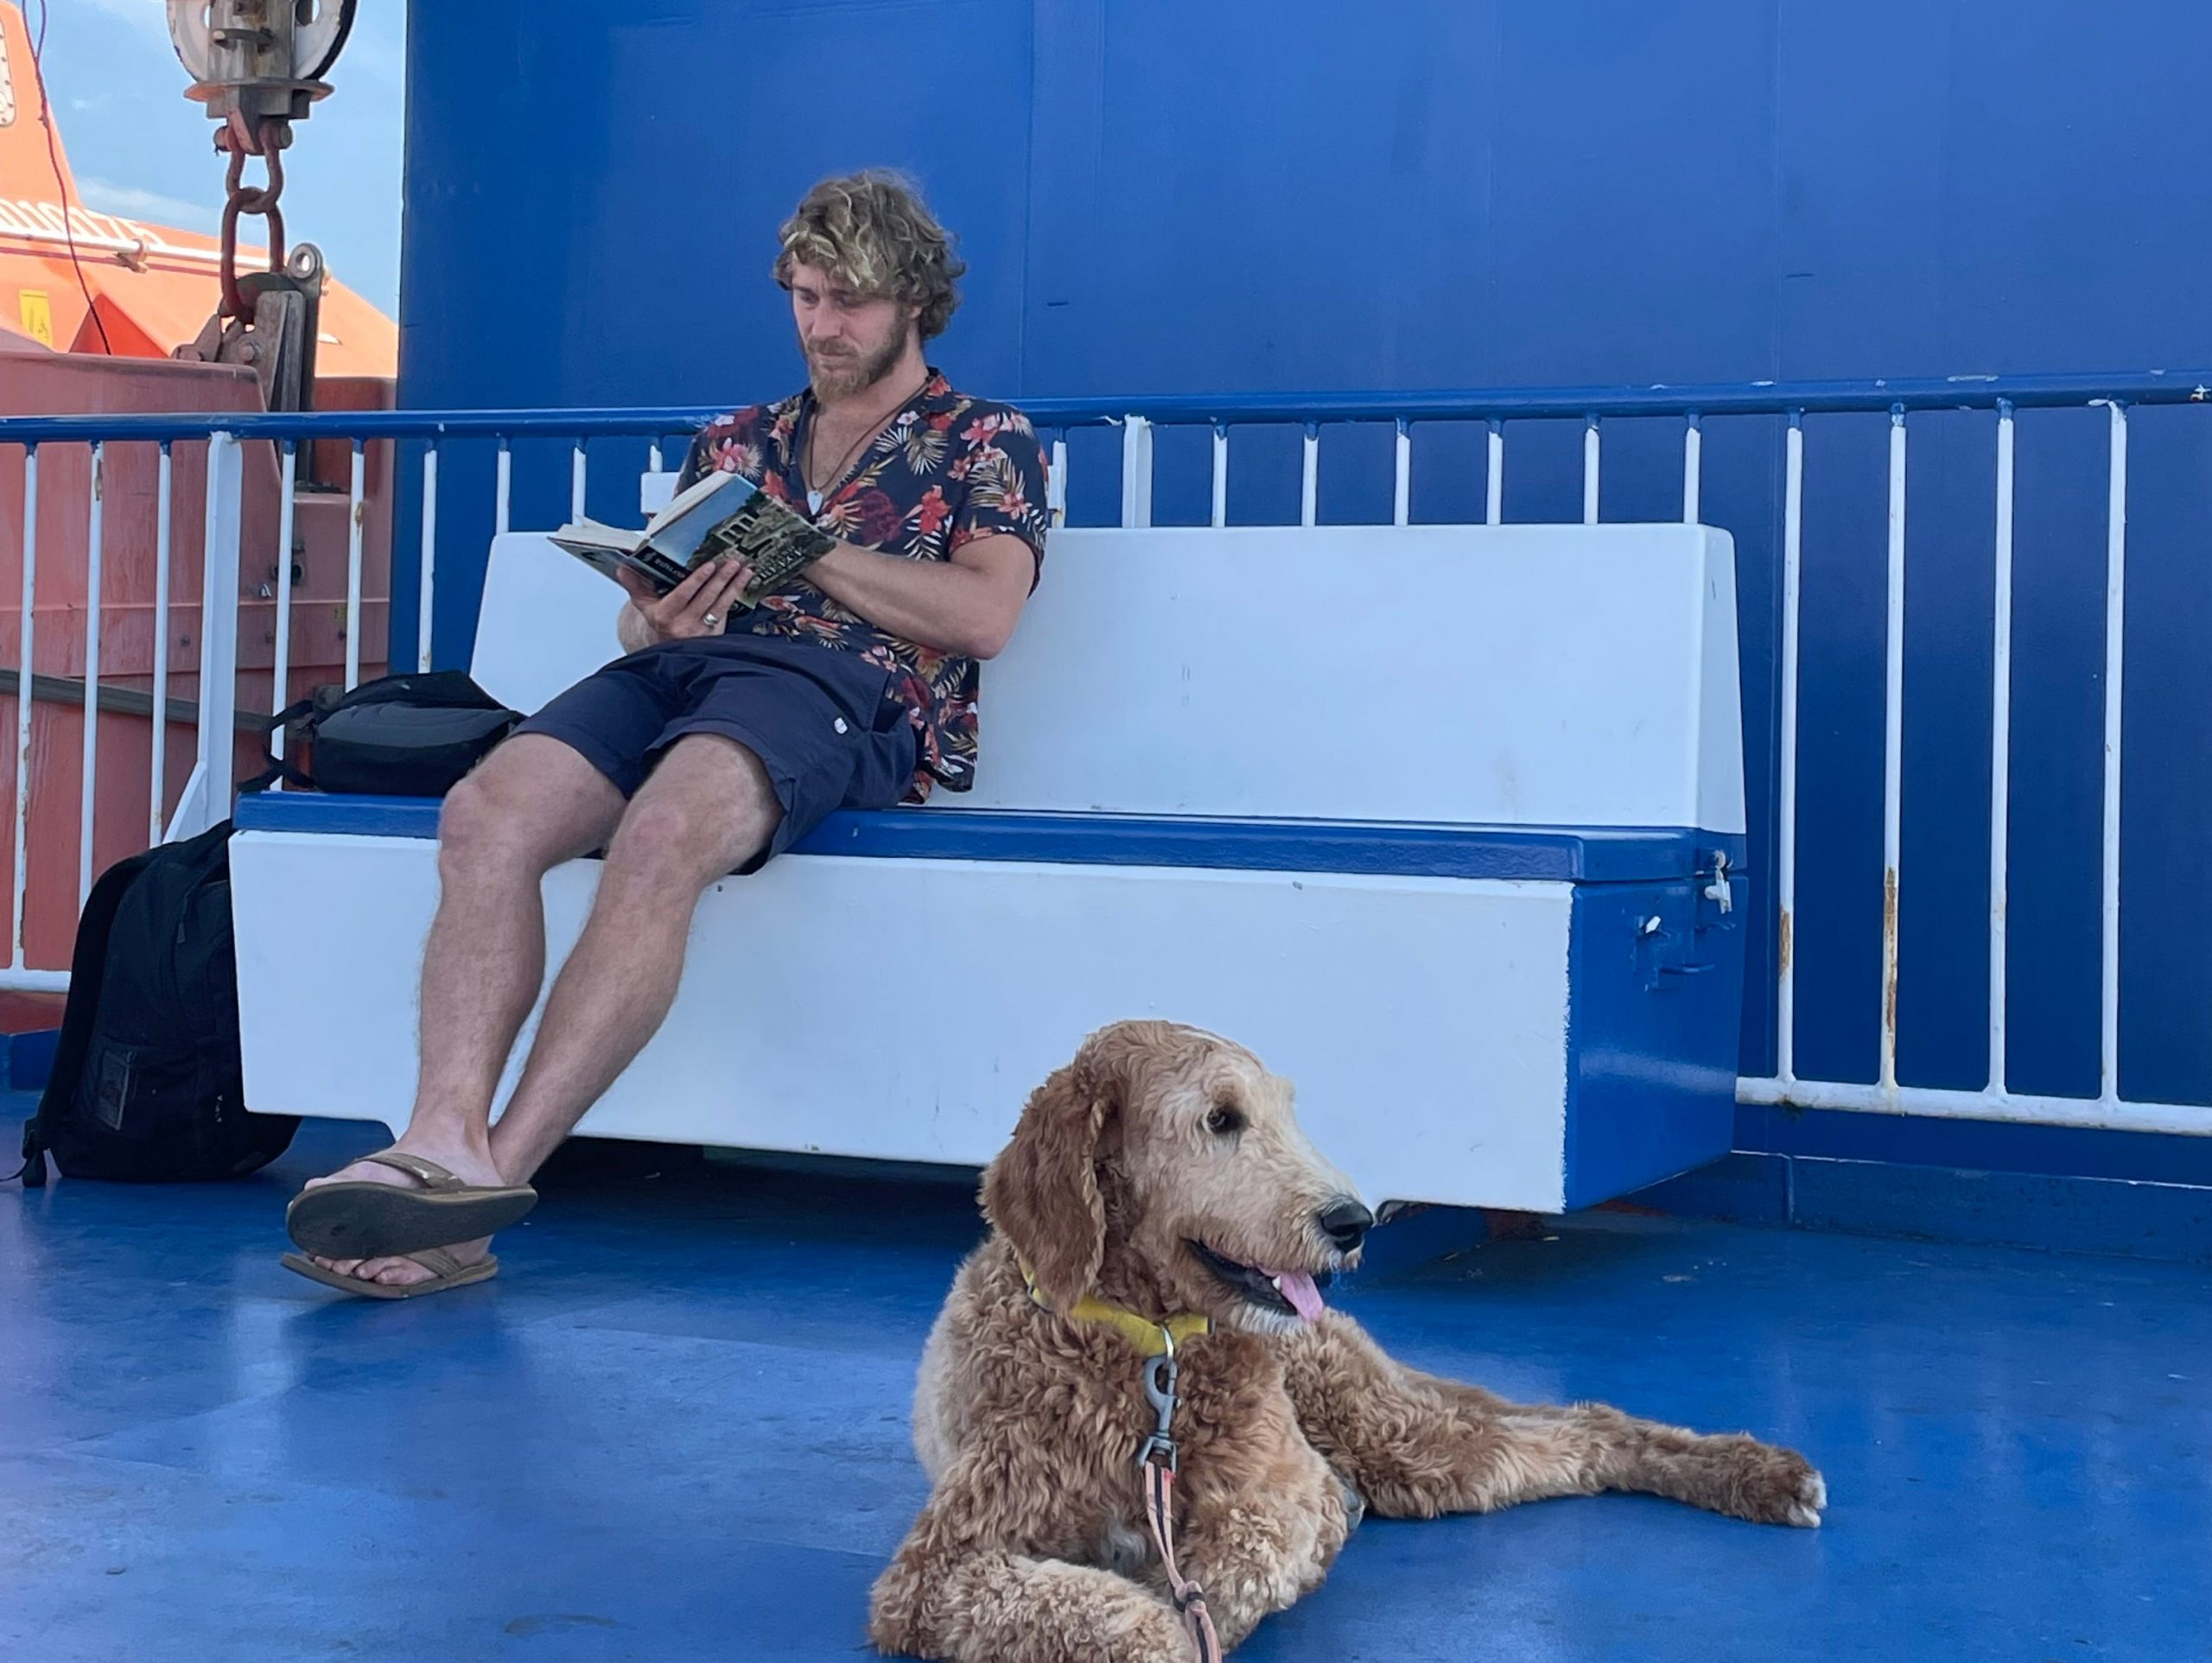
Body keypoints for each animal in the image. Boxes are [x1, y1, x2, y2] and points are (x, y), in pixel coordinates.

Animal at [871, 1021, 1822, 1653]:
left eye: (1283, 1112)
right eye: (1220, 1119)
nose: (1353, 1221)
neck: (1151, 1359)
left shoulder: (1283, 1490)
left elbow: (1239, 1556)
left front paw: (1198, 1603)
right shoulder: (938, 1566)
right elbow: (1115, 1607)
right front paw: (1161, 1617)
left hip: (1395, 1436)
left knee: (1582, 1429)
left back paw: (1756, 1473)